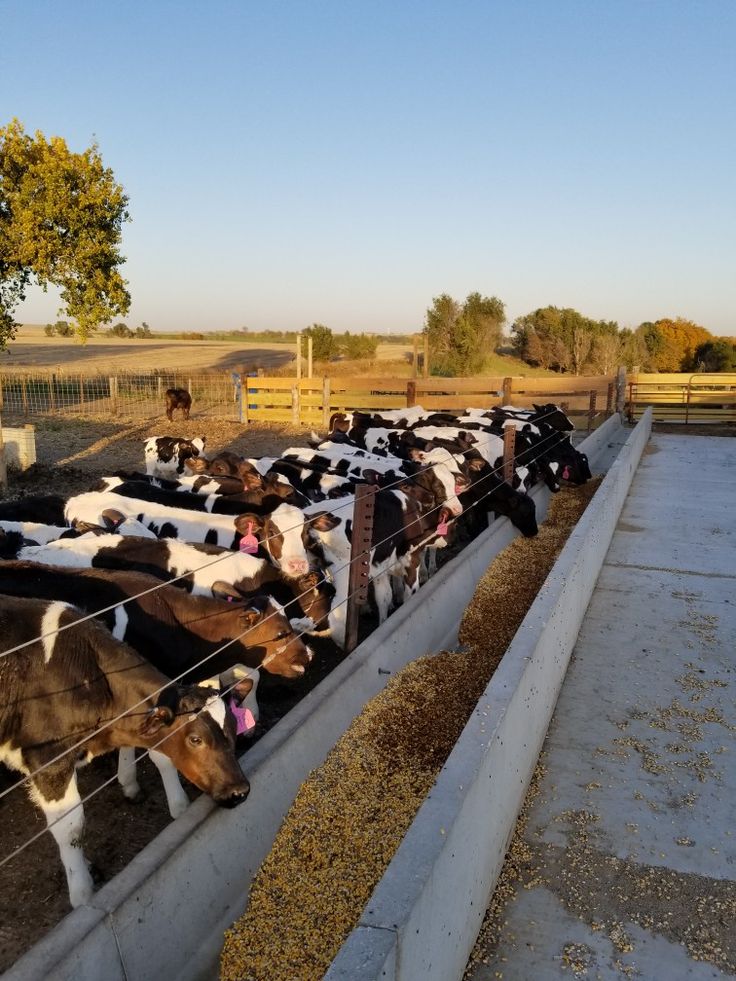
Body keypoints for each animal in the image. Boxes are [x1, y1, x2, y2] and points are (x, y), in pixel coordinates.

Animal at [0, 592, 250, 908]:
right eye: (196, 739)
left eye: (233, 725)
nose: (240, 791)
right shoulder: (49, 759)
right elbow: (70, 827)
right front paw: (82, 893)